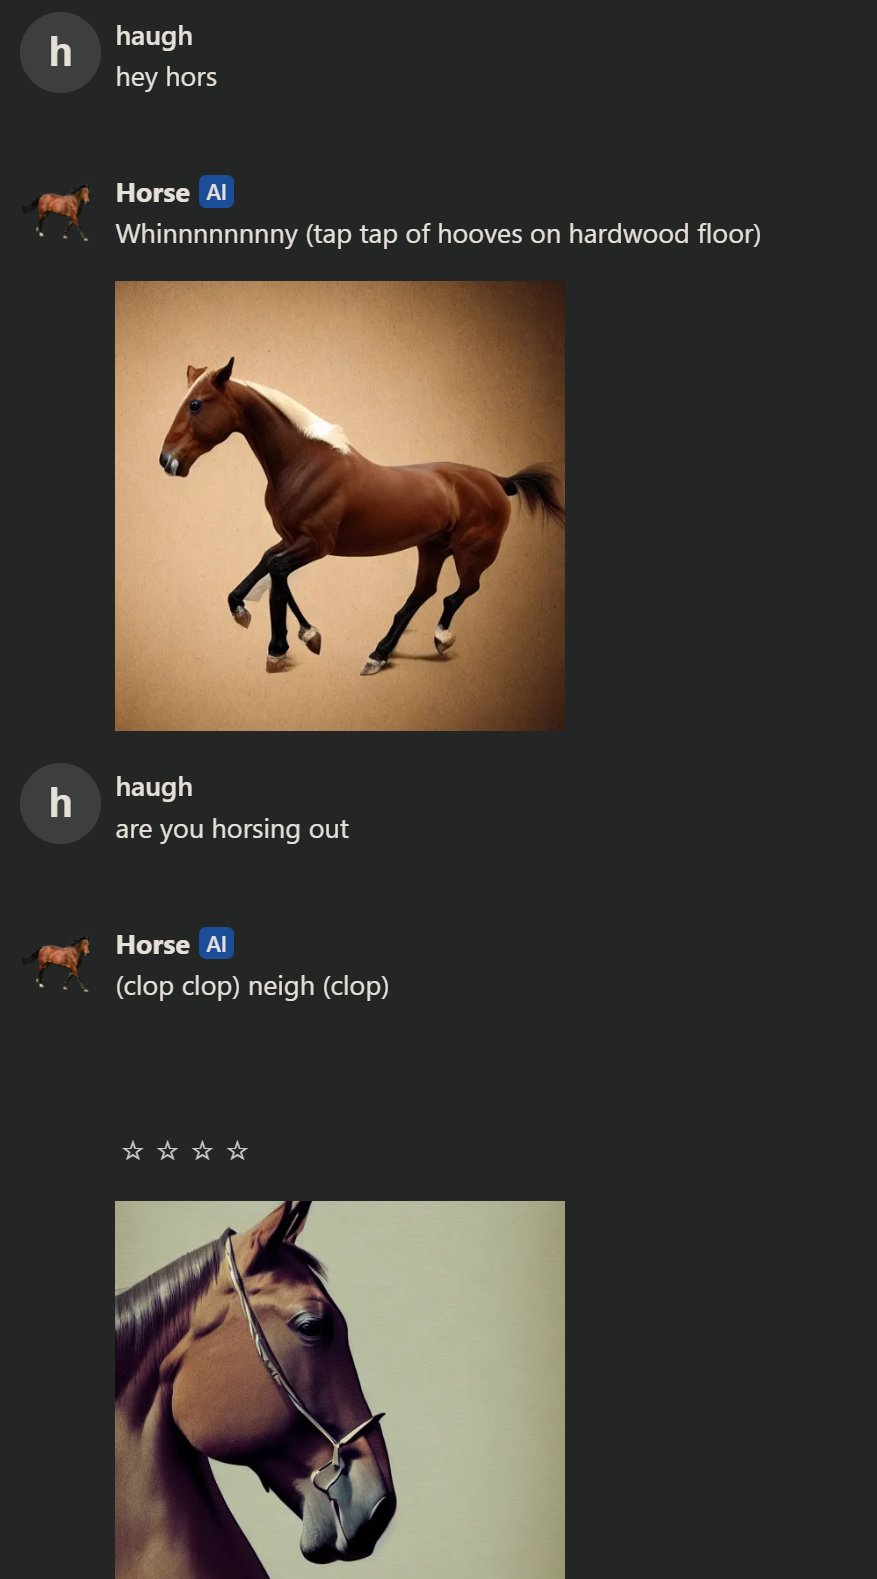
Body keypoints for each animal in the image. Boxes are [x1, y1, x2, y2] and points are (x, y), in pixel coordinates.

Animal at [159, 358, 564, 675]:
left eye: (195, 404)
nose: (167, 461)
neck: (305, 464)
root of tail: (496, 479)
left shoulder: (316, 545)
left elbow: (276, 574)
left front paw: (292, 643)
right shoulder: (291, 539)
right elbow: (269, 567)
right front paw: (263, 623)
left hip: (473, 553)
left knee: (459, 593)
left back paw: (439, 638)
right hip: (432, 547)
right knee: (422, 593)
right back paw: (379, 654)